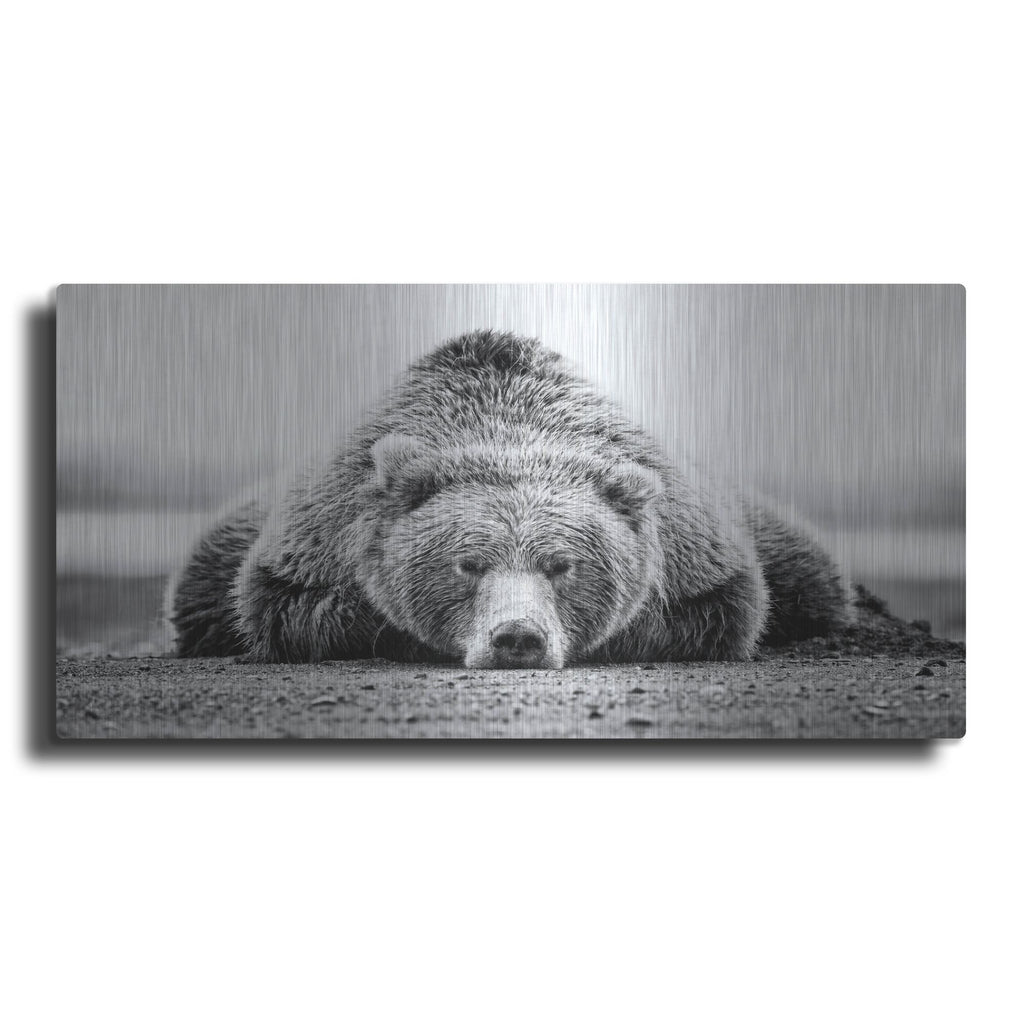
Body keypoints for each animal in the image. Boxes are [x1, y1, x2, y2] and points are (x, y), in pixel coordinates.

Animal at [167, 330, 848, 667]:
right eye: (467, 563)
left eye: (563, 565)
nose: (517, 637)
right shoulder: (315, 545)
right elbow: (289, 608)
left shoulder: (697, 554)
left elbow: (720, 611)